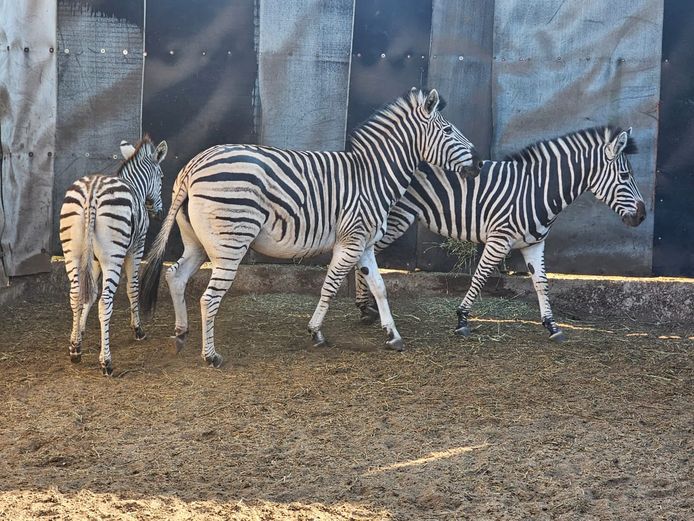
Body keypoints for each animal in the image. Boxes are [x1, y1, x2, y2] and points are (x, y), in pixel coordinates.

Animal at [59, 136, 168, 375]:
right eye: (162, 177)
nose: (159, 213)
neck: (136, 186)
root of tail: (92, 191)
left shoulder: (92, 259)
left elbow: (89, 294)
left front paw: (79, 334)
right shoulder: (136, 247)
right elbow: (132, 288)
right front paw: (138, 329)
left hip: (72, 253)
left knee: (75, 295)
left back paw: (75, 352)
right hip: (114, 257)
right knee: (105, 303)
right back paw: (106, 362)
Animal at [139, 89, 480, 368]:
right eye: (448, 130)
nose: (478, 163)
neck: (373, 176)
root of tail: (193, 166)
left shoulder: (365, 244)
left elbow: (380, 287)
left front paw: (393, 335)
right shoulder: (351, 240)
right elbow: (330, 285)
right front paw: (316, 332)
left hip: (198, 242)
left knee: (175, 276)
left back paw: (181, 334)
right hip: (231, 242)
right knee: (209, 298)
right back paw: (211, 356)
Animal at [354, 126, 647, 340]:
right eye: (624, 176)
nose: (643, 216)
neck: (537, 190)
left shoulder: (534, 243)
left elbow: (541, 283)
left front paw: (551, 326)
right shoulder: (499, 238)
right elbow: (480, 276)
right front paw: (462, 319)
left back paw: (366, 308)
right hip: (396, 219)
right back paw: (363, 308)